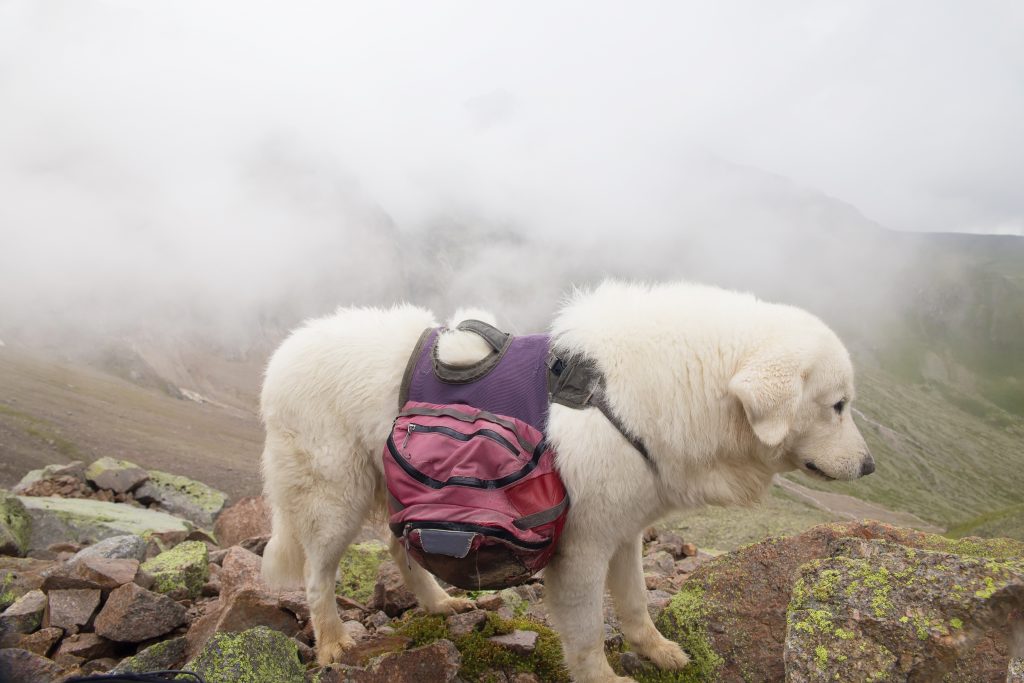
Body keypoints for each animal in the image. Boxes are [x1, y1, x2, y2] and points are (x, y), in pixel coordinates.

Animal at [256, 280, 872, 679]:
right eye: (837, 406)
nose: (868, 466)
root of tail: (284, 354)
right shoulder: (582, 548)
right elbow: (586, 634)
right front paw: (604, 678)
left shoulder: (624, 532)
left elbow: (635, 603)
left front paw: (657, 651)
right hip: (334, 499)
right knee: (317, 575)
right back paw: (333, 642)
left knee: (398, 545)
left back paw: (436, 604)